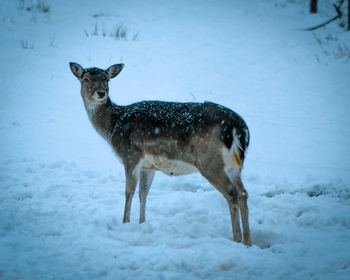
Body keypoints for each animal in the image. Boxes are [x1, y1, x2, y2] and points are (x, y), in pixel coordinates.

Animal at [69, 62, 253, 246]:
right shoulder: (148, 166)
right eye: (86, 79)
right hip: (233, 165)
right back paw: (247, 242)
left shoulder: (130, 156)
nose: (101, 93)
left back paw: (237, 239)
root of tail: (239, 128)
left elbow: (129, 192)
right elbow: (143, 193)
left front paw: (125, 223)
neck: (114, 127)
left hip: (209, 161)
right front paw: (142, 224)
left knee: (231, 193)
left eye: (107, 79)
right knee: (243, 193)